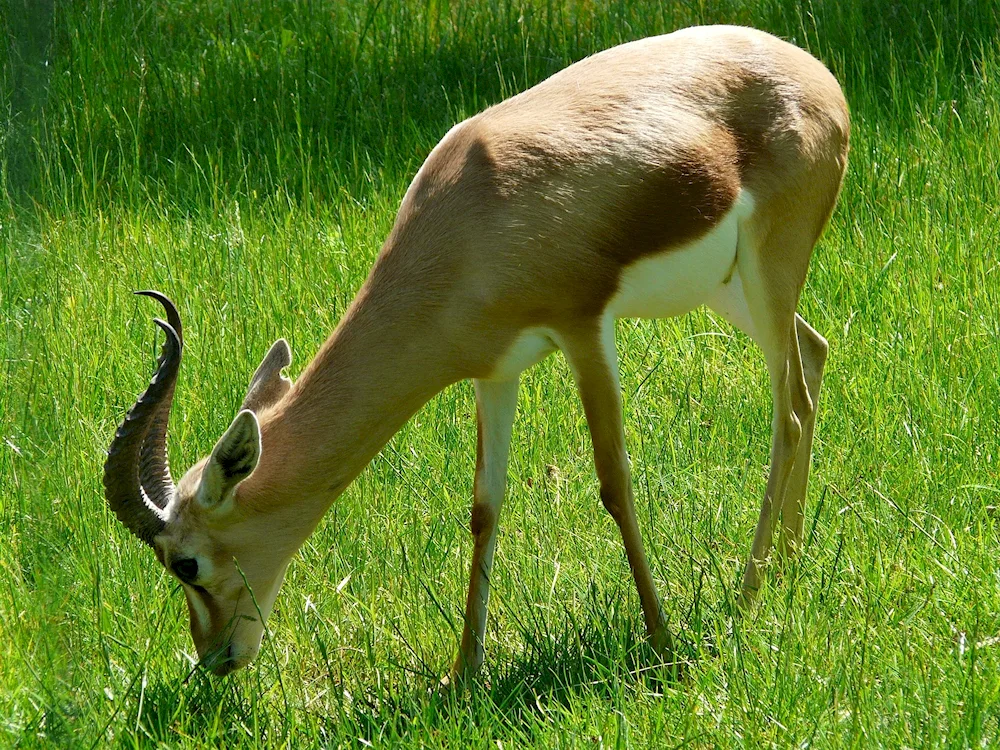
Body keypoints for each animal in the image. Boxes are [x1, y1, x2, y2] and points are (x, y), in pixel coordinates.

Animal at [105, 25, 848, 680]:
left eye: (184, 563)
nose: (214, 658)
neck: (469, 217)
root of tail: (819, 76)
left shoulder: (584, 329)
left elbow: (614, 483)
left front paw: (662, 645)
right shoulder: (497, 370)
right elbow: (484, 508)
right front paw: (463, 674)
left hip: (769, 265)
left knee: (788, 410)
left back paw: (747, 598)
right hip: (730, 288)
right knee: (813, 356)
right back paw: (787, 568)